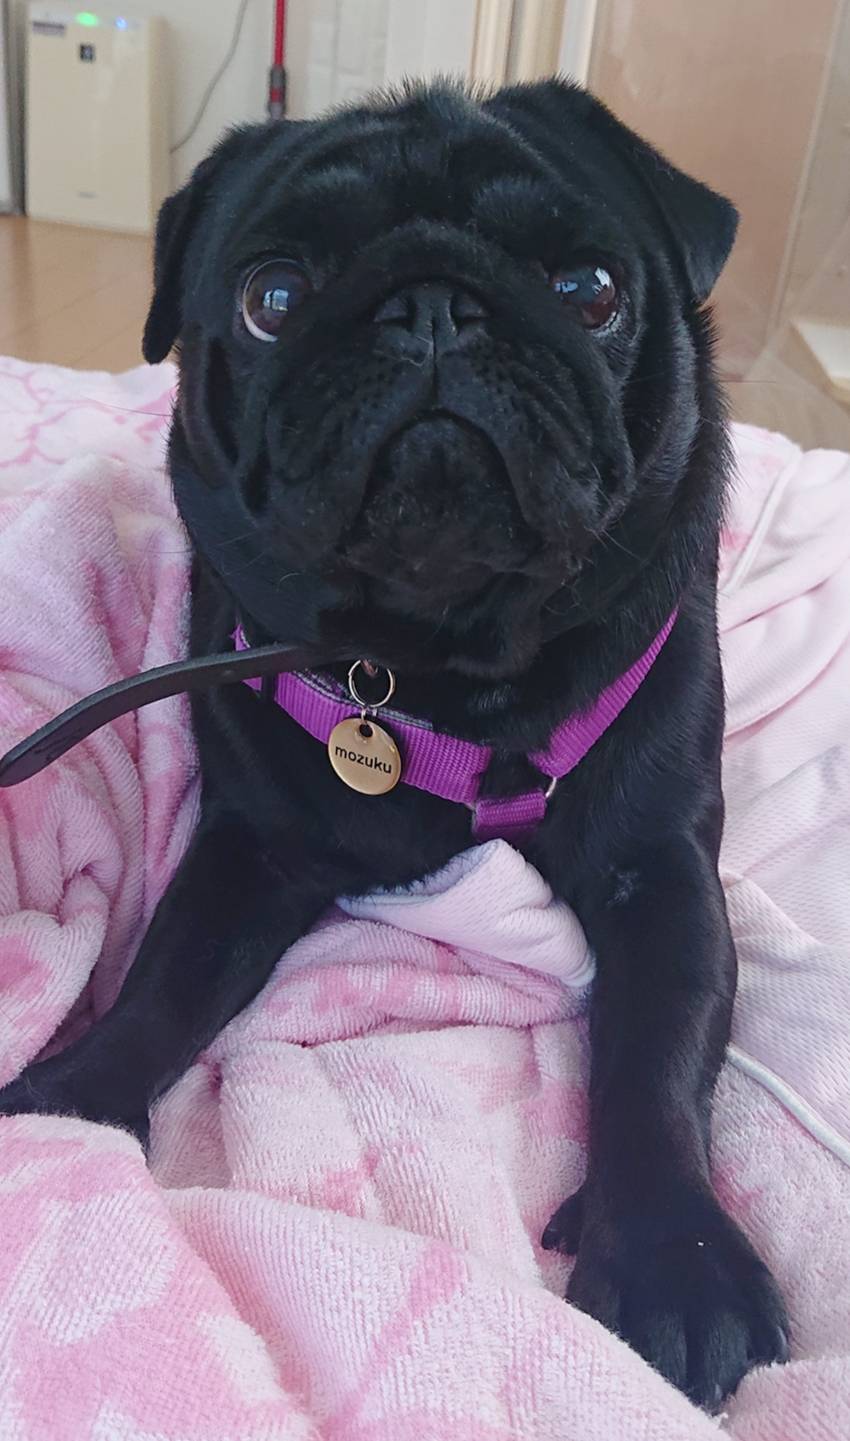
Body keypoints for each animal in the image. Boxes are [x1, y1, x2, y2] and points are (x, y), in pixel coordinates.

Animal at [0, 79, 789, 1409]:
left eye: (590, 288)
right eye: (271, 299)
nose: (432, 310)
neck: (440, 674)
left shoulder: (664, 872)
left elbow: (657, 1051)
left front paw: (670, 1254)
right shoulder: (249, 849)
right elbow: (164, 983)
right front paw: (67, 1103)